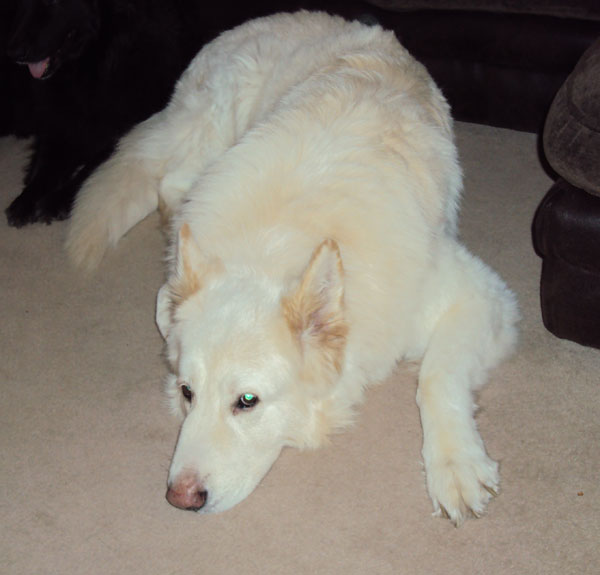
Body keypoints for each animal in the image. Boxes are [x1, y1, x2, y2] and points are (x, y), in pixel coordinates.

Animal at [2, 0, 216, 230]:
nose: (12, 53)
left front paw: (58, 199)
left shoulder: (124, 133)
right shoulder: (60, 123)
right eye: (22, 2)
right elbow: (45, 165)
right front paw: (26, 199)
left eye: (54, 2)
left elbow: (90, 170)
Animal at [64, 10, 516, 528]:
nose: (179, 498)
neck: (272, 247)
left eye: (247, 401)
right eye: (187, 391)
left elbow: (435, 376)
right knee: (170, 183)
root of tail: (245, 26)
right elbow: (162, 303)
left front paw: (456, 466)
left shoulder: (482, 295)